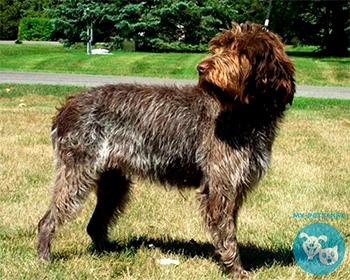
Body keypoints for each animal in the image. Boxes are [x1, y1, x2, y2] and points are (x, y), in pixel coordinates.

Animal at [37, 22, 296, 278]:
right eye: (219, 47)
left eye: (238, 50)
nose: (201, 68)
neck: (247, 113)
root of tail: (66, 105)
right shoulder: (220, 186)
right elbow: (227, 234)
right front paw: (235, 269)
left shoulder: (235, 188)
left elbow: (229, 228)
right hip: (76, 174)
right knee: (47, 220)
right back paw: (44, 258)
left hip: (113, 182)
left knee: (94, 225)